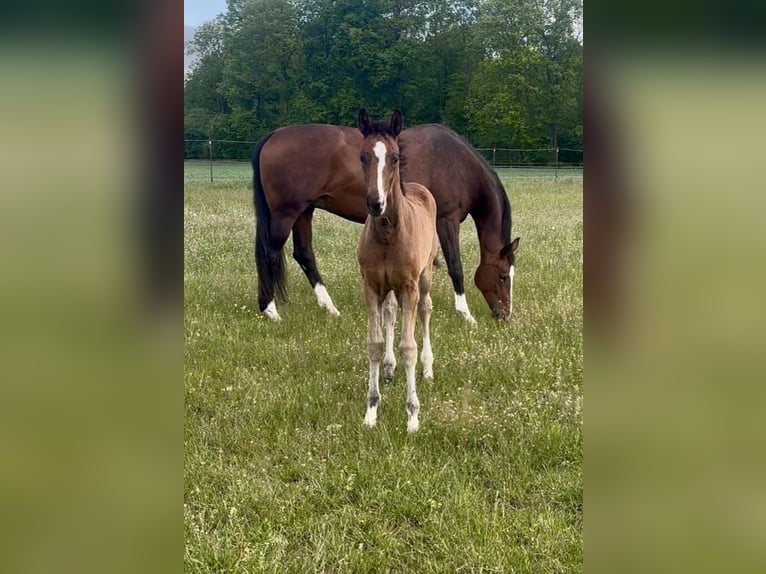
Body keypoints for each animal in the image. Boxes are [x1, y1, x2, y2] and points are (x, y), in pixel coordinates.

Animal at [253, 122, 520, 323]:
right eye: (503, 276)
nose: (505, 314)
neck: (457, 164)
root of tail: (273, 135)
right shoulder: (447, 220)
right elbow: (456, 266)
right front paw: (466, 314)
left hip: (304, 212)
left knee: (304, 254)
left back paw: (330, 308)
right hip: (286, 214)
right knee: (270, 253)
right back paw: (271, 310)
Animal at [356, 109, 438, 432]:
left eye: (394, 157)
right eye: (363, 156)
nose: (375, 203)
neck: (388, 235)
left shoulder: (409, 286)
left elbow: (408, 347)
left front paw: (413, 415)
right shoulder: (371, 286)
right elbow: (375, 343)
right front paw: (371, 410)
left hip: (425, 278)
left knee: (426, 310)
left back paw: (428, 368)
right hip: (390, 289)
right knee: (391, 313)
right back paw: (390, 370)